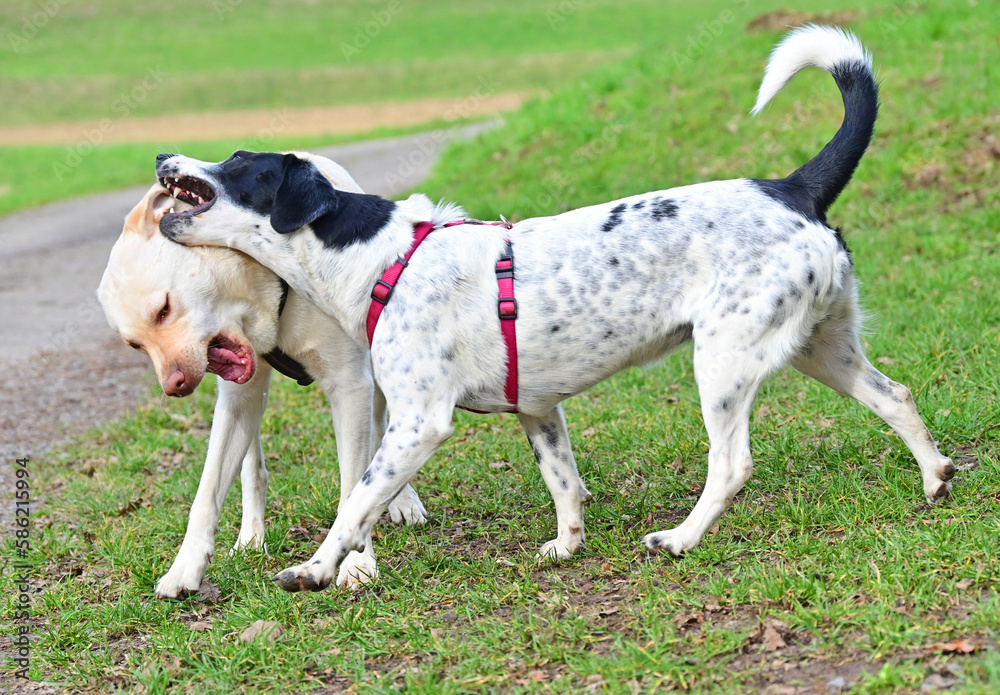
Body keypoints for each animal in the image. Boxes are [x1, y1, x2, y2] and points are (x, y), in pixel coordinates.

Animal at [97, 152, 430, 600]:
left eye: (164, 309)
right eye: (135, 345)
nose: (174, 387)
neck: (265, 291)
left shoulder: (351, 387)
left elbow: (355, 486)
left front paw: (356, 563)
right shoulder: (236, 402)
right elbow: (206, 493)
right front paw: (185, 569)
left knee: (380, 437)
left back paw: (402, 499)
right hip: (249, 402)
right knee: (253, 467)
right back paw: (251, 539)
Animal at [154, 27, 952, 592]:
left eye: (239, 166)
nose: (164, 158)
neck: (380, 256)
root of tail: (792, 187)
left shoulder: (416, 422)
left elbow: (356, 503)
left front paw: (318, 568)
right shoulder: (538, 408)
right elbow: (564, 483)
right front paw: (568, 547)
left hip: (722, 362)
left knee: (731, 464)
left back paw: (681, 538)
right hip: (825, 349)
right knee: (897, 395)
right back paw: (935, 479)